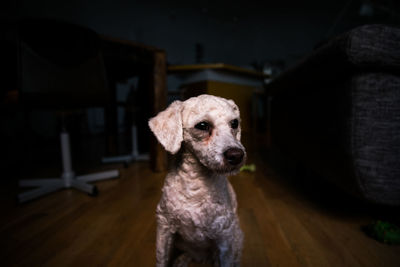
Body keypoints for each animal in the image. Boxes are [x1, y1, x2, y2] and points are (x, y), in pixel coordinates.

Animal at [148, 95, 245, 266]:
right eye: (202, 125)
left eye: (234, 123)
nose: (237, 155)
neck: (196, 186)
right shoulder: (164, 227)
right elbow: (161, 259)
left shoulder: (225, 238)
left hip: (236, 238)